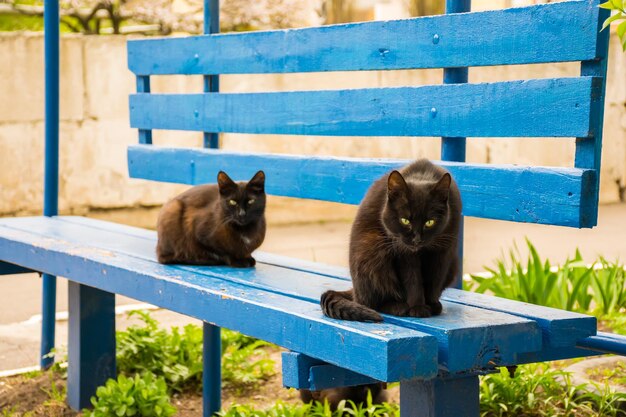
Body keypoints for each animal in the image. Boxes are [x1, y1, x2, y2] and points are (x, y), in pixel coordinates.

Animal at [322, 158, 458, 320]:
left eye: (429, 222)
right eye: (405, 220)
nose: (416, 240)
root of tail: (354, 290)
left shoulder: (444, 251)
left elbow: (435, 280)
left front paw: (432, 304)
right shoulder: (403, 252)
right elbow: (413, 281)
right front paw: (418, 307)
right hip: (372, 248)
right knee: (368, 301)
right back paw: (398, 307)